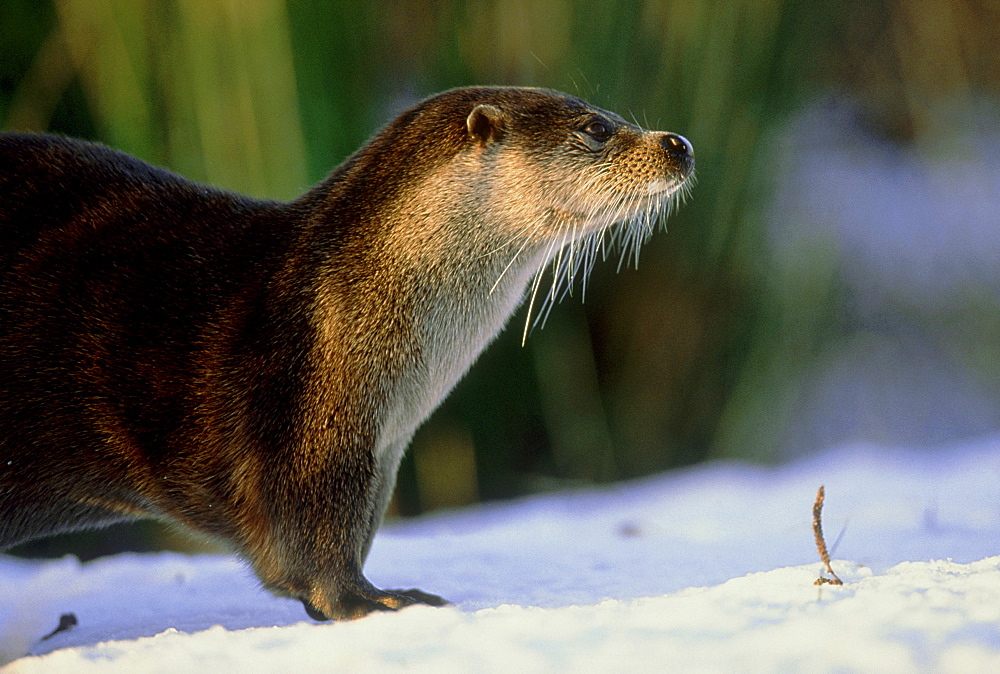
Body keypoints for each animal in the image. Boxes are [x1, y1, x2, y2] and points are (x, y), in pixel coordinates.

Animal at [0, 86, 692, 616]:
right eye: (597, 128)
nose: (678, 143)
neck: (334, 304)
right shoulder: (304, 428)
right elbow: (309, 553)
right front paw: (376, 600)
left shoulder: (375, 455)